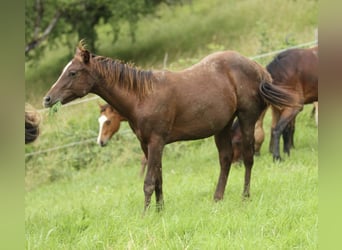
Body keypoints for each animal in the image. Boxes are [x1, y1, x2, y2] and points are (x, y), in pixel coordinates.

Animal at [42, 40, 294, 211]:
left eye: (73, 72)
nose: (47, 99)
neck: (142, 96)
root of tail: (258, 68)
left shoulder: (156, 142)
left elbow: (148, 181)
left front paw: (145, 215)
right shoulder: (147, 144)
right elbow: (158, 178)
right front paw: (159, 211)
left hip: (246, 119)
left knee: (248, 157)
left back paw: (245, 197)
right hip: (222, 126)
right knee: (225, 159)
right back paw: (217, 199)